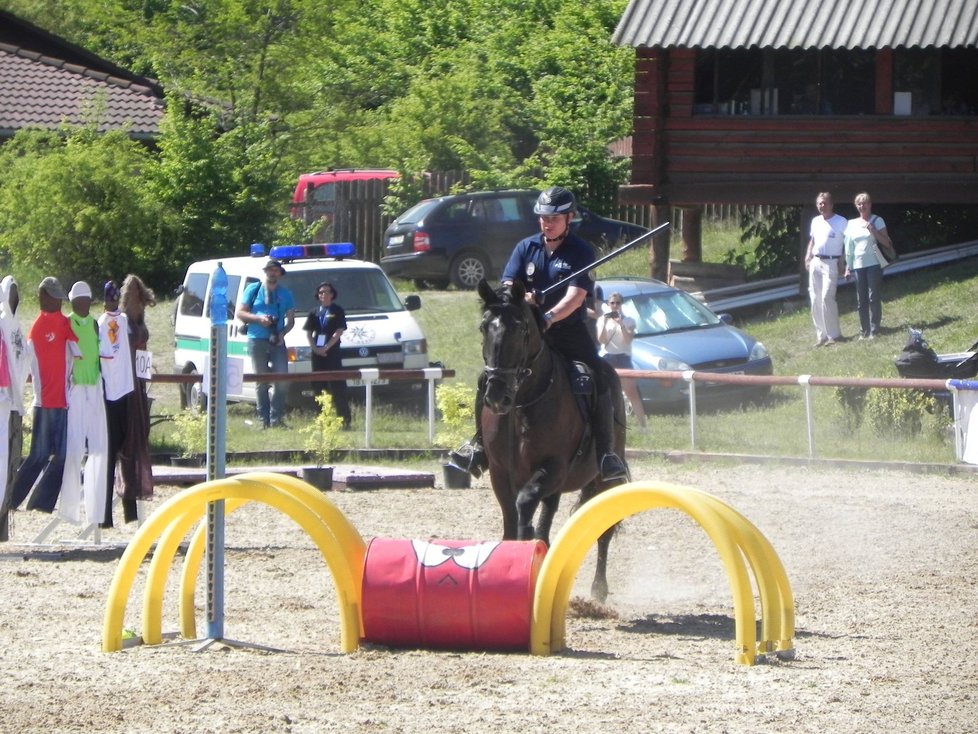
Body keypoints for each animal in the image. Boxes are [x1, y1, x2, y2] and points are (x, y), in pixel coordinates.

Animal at [474, 278, 624, 600]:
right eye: (484, 327)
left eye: (520, 328)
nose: (496, 396)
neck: (522, 403)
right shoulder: (500, 472)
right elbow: (511, 515)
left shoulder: (552, 467)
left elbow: (524, 503)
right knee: (548, 517)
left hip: (604, 478)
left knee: (604, 531)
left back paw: (599, 589)